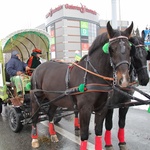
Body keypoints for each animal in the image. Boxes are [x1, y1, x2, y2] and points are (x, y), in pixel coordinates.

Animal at [29, 20, 133, 149]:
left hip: (54, 99)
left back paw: (53, 135)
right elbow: (84, 134)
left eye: (129, 48)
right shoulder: (85, 109)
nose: (124, 80)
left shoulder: (102, 108)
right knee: (34, 116)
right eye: (111, 49)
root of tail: (37, 68)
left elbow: (98, 132)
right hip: (36, 98)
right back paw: (35, 139)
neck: (93, 75)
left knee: (50, 114)